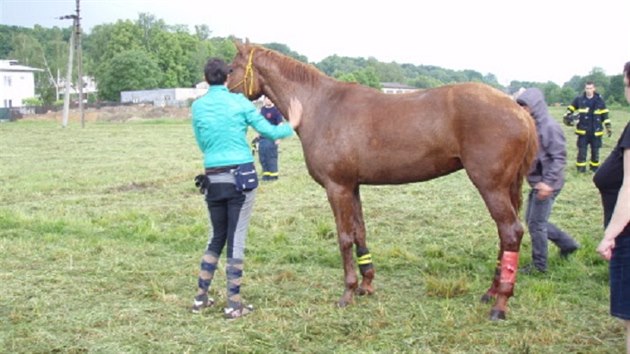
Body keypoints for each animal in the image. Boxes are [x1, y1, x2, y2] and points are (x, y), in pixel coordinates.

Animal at [227, 40, 540, 320]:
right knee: (504, 234)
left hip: (490, 186)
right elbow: (359, 233)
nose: (221, 91)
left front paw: (347, 292)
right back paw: (492, 291)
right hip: (506, 187)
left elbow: (344, 237)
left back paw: (500, 304)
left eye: (231, 68)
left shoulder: (337, 188)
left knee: (511, 232)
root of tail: (518, 109)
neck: (320, 105)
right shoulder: (352, 187)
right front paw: (366, 285)